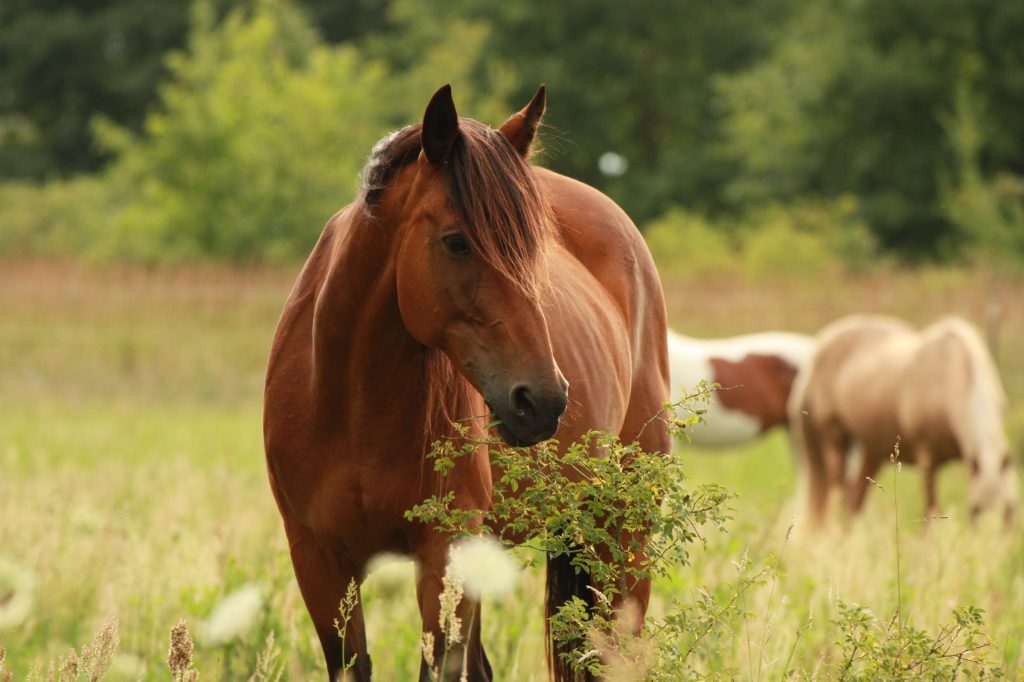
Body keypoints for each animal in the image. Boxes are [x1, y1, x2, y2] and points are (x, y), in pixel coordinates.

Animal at [263, 85, 670, 681]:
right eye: (456, 242)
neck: (351, 405)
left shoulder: (444, 554)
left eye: (535, 250)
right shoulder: (318, 562)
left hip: (623, 531)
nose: (544, 400)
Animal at [788, 314, 1018, 526]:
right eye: (975, 511)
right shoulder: (927, 461)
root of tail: (818, 351)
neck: (951, 371)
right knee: (837, 495)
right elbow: (930, 511)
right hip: (834, 439)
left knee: (854, 500)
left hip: (872, 450)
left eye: (1010, 511)